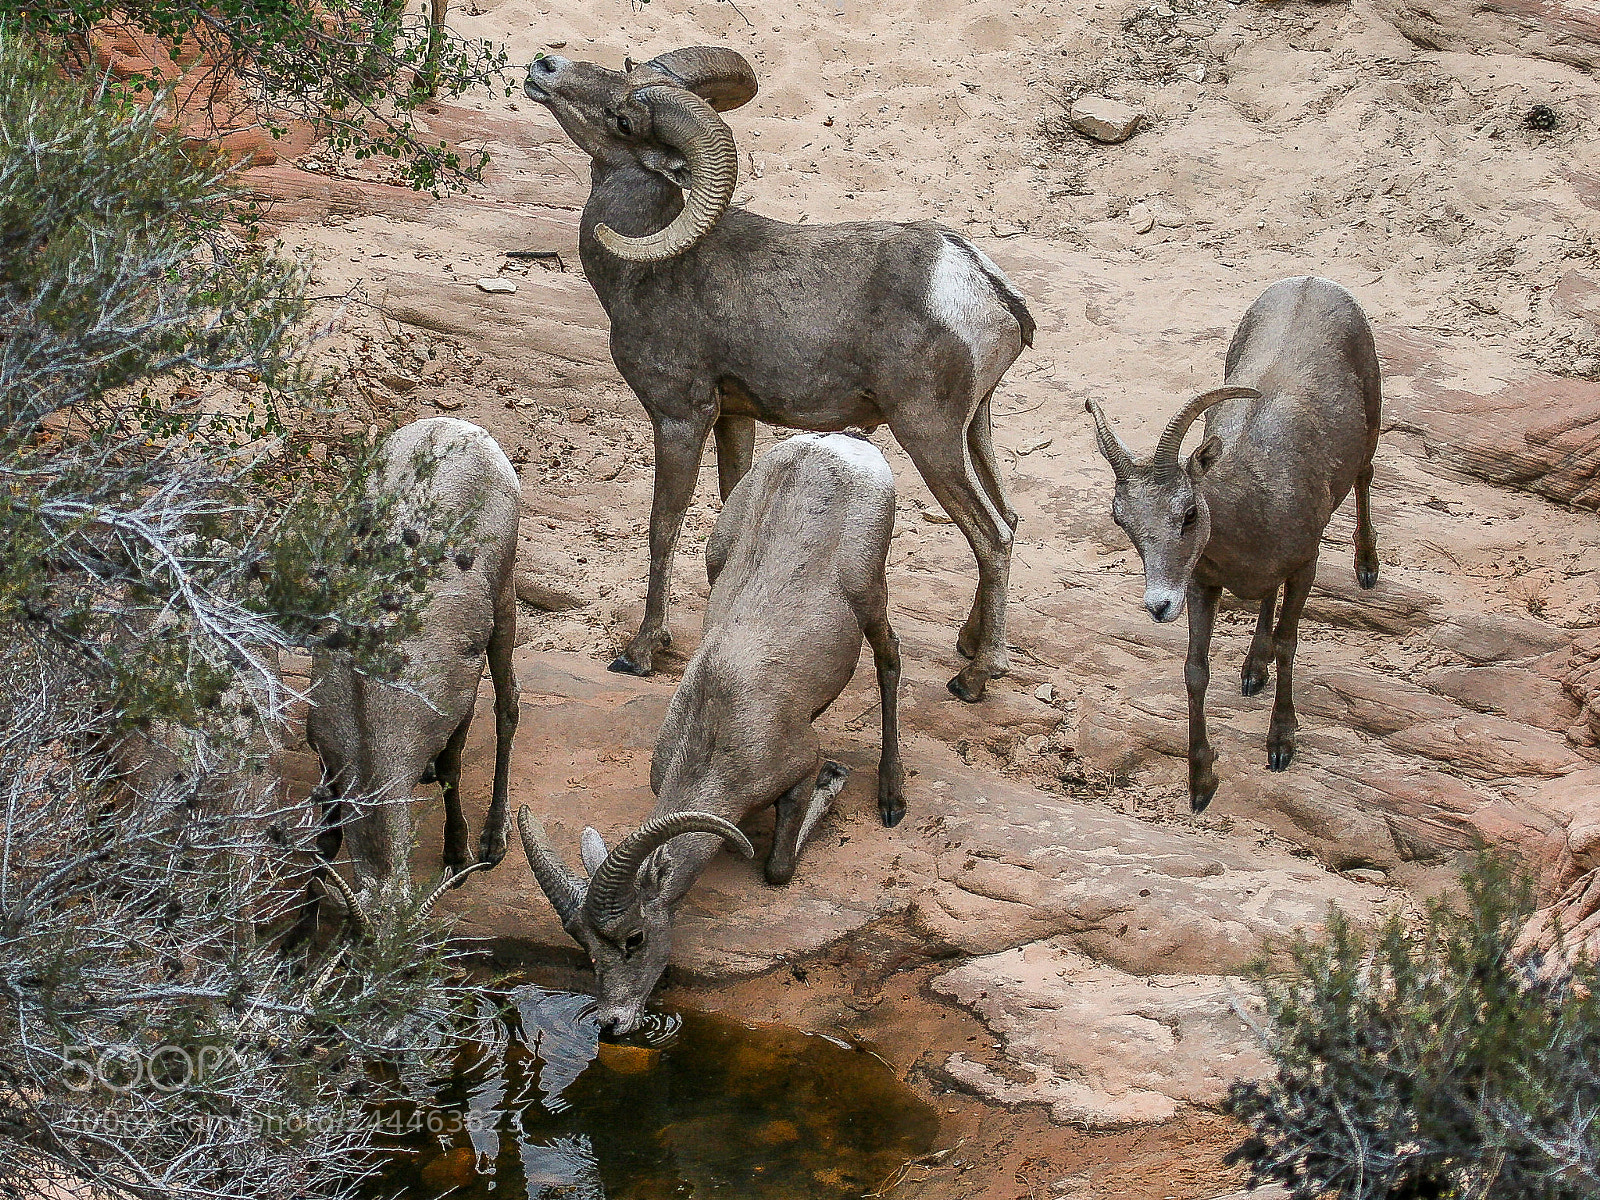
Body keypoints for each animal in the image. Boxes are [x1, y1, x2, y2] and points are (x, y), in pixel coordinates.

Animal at [306, 417, 522, 917]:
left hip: (503, 602)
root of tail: (463, 428)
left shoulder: (458, 707)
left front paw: (458, 855)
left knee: (508, 706)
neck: (368, 703)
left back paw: (494, 840)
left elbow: (451, 773)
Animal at [518, 431, 903, 1035]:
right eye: (585, 947)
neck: (718, 736)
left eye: (634, 938)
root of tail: (835, 446)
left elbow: (778, 868)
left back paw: (891, 799)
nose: (611, 1023)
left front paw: (836, 778)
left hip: (871, 594)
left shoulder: (797, 765)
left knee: (890, 659)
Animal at [521, 46, 1034, 702]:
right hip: (975, 427)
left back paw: (974, 677)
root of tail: (979, 283)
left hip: (930, 435)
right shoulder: (735, 418)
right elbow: (729, 514)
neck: (646, 271)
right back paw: (971, 644)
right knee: (1009, 520)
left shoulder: (681, 416)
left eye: (625, 120)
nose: (545, 65)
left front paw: (640, 652)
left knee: (992, 536)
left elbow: (664, 526)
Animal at [1084, 275, 1382, 812]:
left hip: (1372, 423)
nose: (1159, 605)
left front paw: (1280, 744)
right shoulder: (1202, 585)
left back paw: (1367, 566)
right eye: (1122, 520)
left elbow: (1288, 642)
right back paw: (1251, 670)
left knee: (1366, 474)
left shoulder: (1304, 566)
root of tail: (1313, 280)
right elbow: (1195, 670)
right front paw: (1200, 783)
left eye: (1189, 513)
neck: (1257, 500)